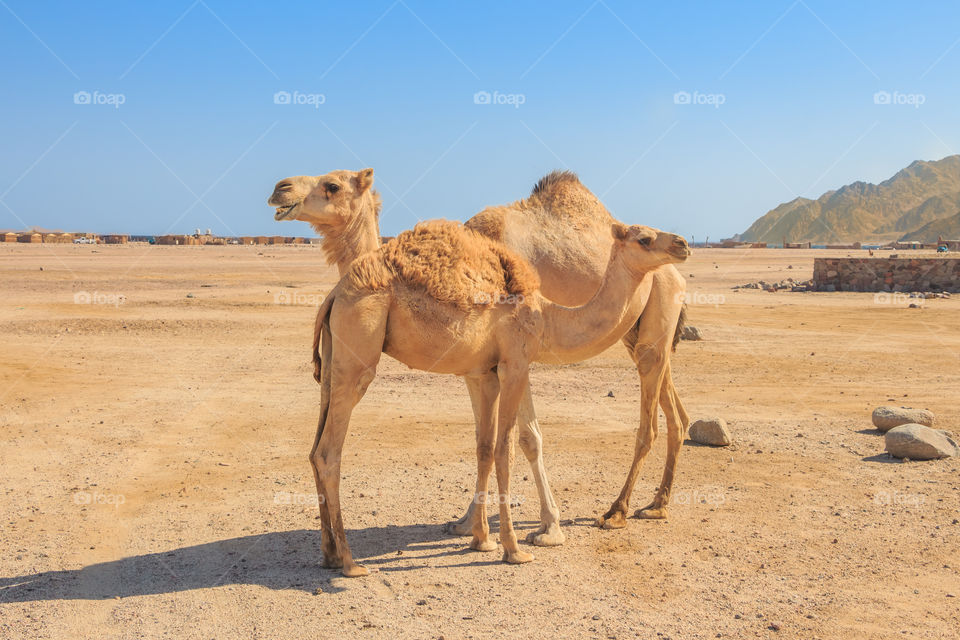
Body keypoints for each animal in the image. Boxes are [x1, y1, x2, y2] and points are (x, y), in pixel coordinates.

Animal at [268, 168, 690, 545]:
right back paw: (656, 504)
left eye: (332, 185)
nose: (279, 188)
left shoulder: (508, 361)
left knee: (650, 420)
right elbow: (489, 441)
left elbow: (525, 438)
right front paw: (470, 523)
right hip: (639, 337)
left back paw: (619, 510)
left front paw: (546, 528)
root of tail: (677, 276)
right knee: (676, 414)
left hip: (655, 327)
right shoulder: (479, 369)